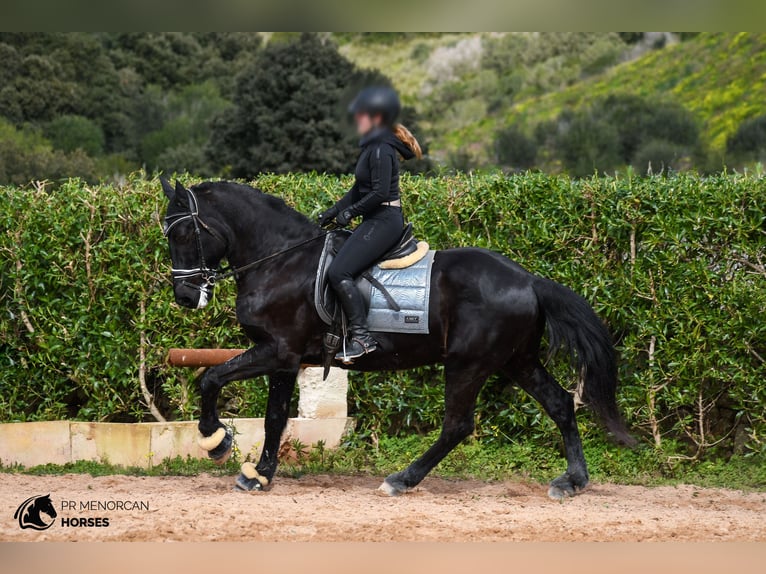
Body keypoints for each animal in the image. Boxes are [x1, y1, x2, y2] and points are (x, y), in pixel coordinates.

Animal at [160, 179, 636, 500]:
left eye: (182, 233)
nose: (184, 296)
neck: (279, 260)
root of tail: (530, 280)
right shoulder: (285, 359)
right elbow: (273, 416)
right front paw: (257, 472)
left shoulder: (278, 351)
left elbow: (215, 382)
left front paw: (219, 444)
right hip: (516, 360)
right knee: (559, 403)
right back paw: (573, 481)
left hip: (468, 364)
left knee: (457, 425)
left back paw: (402, 479)